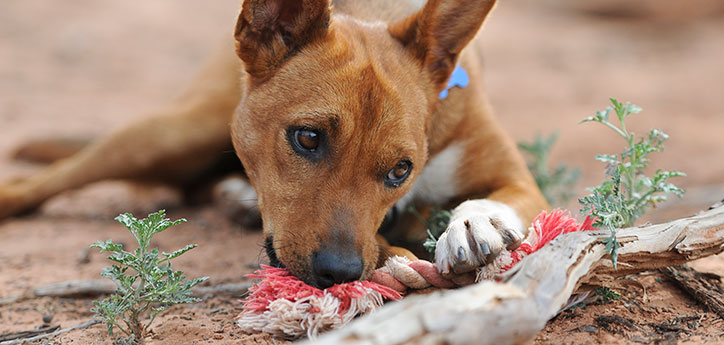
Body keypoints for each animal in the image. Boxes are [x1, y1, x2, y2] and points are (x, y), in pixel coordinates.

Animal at [0, 0, 544, 288]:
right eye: (307, 138)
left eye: (401, 170)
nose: (339, 273)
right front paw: (396, 254)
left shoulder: (519, 181)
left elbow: (498, 200)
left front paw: (473, 223)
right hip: (172, 132)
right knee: (43, 183)